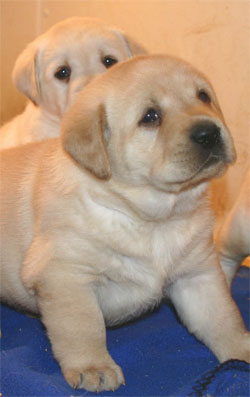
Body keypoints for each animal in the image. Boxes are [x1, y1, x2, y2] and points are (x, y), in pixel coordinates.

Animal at [0, 55, 249, 392]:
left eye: (203, 96)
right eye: (150, 117)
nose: (208, 132)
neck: (153, 218)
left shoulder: (198, 274)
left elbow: (223, 317)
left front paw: (242, 348)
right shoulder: (66, 276)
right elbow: (83, 327)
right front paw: (93, 367)